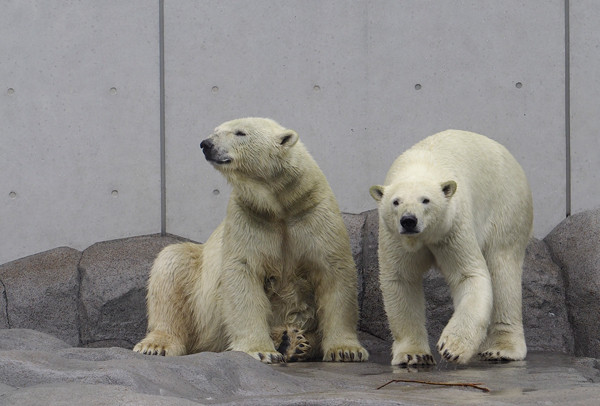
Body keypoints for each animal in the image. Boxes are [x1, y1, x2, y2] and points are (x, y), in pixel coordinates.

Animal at [134, 117, 368, 364]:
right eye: (216, 130)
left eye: (240, 133)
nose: (206, 144)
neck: (280, 204)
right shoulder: (249, 217)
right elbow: (242, 274)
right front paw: (262, 350)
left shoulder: (313, 212)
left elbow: (334, 273)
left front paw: (347, 350)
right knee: (171, 267)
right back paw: (156, 344)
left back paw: (295, 342)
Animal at [370, 129, 536, 364]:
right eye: (396, 201)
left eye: (425, 200)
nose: (409, 220)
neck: (419, 165)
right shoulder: (396, 238)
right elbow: (401, 280)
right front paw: (413, 355)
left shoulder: (453, 227)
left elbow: (469, 275)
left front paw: (451, 348)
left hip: (507, 206)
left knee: (503, 268)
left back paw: (501, 349)